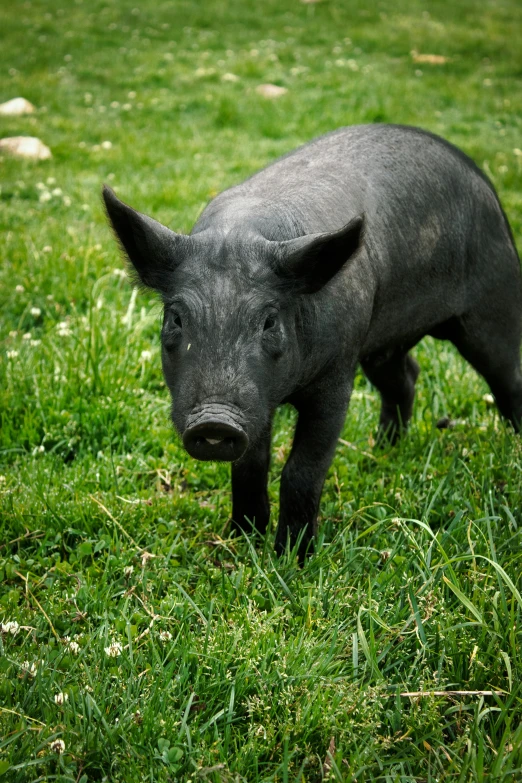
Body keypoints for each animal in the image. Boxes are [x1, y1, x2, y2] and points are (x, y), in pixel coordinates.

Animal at [102, 124, 520, 556]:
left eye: (269, 321)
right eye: (176, 318)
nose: (215, 419)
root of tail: (481, 179)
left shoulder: (337, 375)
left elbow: (302, 469)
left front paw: (294, 557)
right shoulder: (258, 401)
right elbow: (251, 465)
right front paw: (243, 538)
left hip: (494, 297)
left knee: (507, 376)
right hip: (382, 347)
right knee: (407, 376)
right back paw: (383, 453)